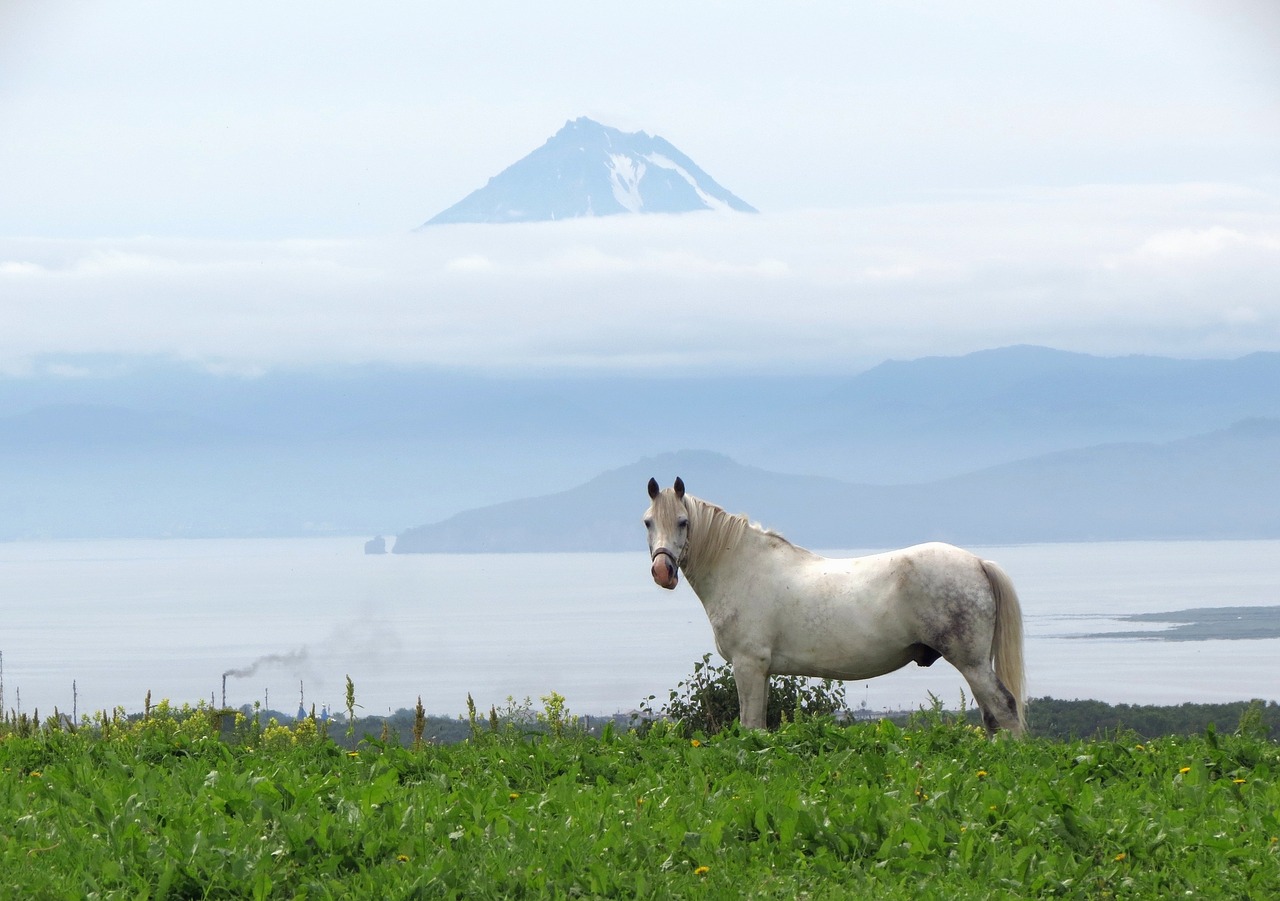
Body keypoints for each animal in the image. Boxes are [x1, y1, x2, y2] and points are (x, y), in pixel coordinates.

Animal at [645, 476, 1024, 737]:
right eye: (648, 522)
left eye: (683, 522)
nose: (663, 571)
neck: (742, 566)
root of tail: (978, 562)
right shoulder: (762, 671)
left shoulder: (748, 664)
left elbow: (750, 724)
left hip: (971, 662)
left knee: (1004, 708)